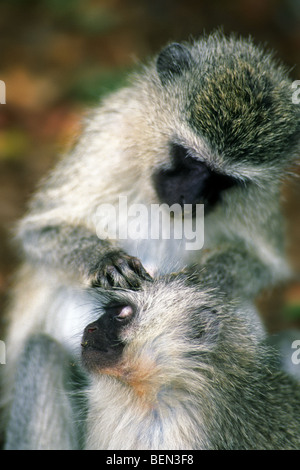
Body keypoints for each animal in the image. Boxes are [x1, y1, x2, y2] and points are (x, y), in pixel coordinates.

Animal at [0, 31, 300, 450]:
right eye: (189, 157)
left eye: (224, 179)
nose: (191, 196)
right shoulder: (110, 137)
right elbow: (39, 231)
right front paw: (105, 260)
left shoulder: (259, 196)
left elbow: (264, 263)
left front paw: (207, 276)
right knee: (42, 353)